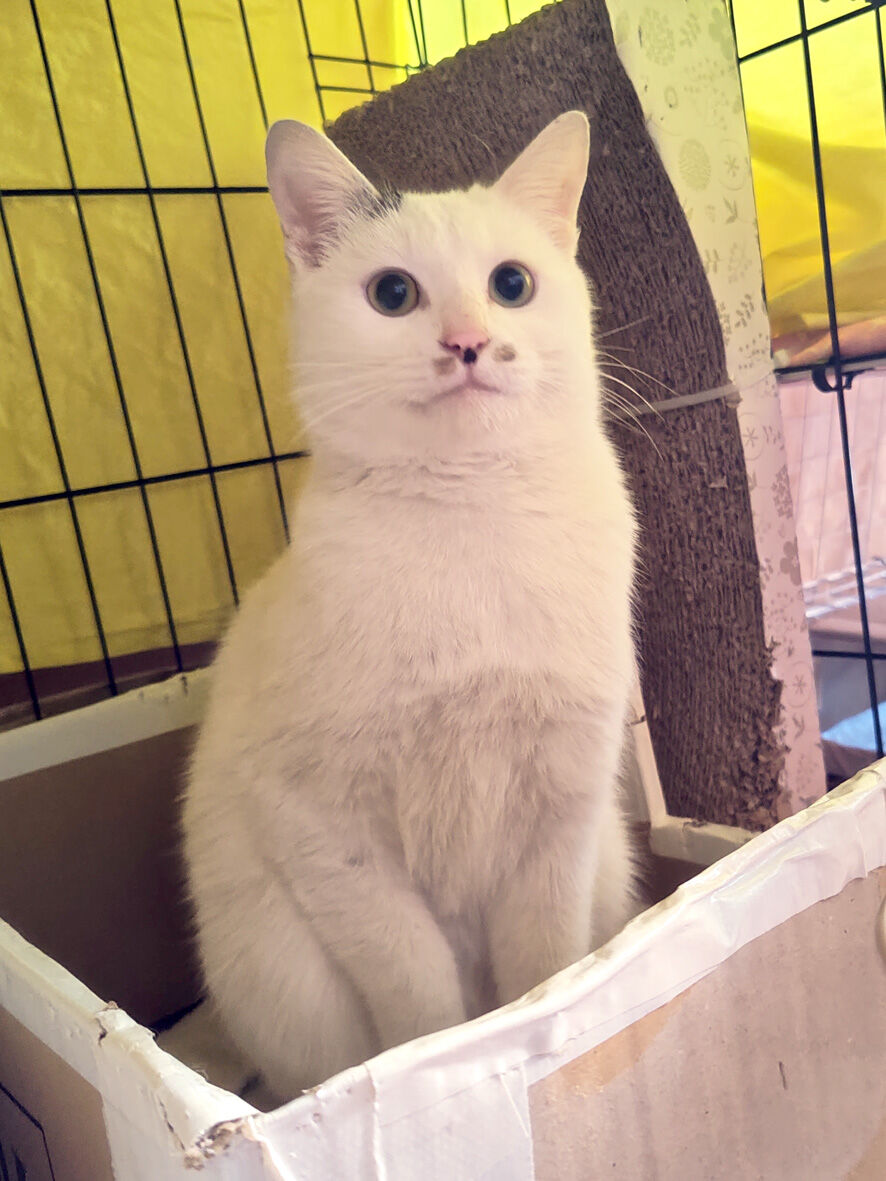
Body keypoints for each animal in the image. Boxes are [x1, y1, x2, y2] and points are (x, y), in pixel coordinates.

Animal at [182, 110, 638, 1102]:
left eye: (512, 284)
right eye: (393, 294)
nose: (467, 341)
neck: (471, 517)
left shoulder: (565, 810)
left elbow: (546, 967)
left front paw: (541, 1027)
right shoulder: (321, 825)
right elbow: (417, 992)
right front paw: (439, 1063)